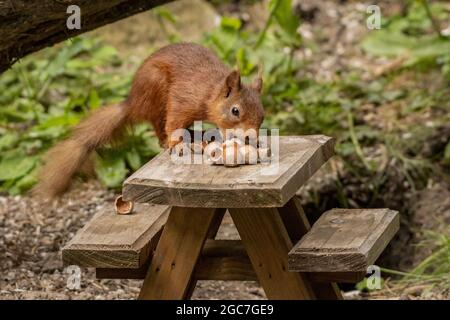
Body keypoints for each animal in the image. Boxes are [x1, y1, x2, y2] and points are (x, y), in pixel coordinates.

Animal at [37, 42, 266, 198]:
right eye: (235, 111)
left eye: (262, 115)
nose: (251, 138)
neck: (210, 93)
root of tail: (132, 102)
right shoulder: (182, 100)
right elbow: (173, 123)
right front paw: (177, 145)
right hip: (155, 90)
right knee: (158, 126)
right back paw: (176, 141)